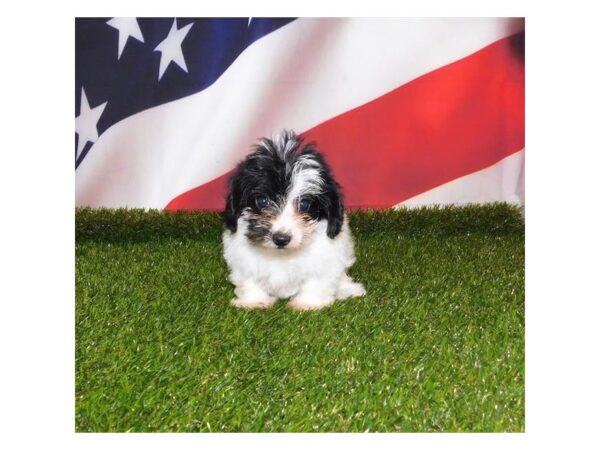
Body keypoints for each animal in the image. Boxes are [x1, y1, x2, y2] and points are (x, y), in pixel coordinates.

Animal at [221, 131, 366, 310]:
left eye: (304, 204)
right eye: (262, 201)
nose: (281, 239)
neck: (282, 255)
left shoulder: (326, 257)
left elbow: (317, 280)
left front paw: (307, 303)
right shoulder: (242, 258)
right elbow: (249, 278)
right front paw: (254, 301)